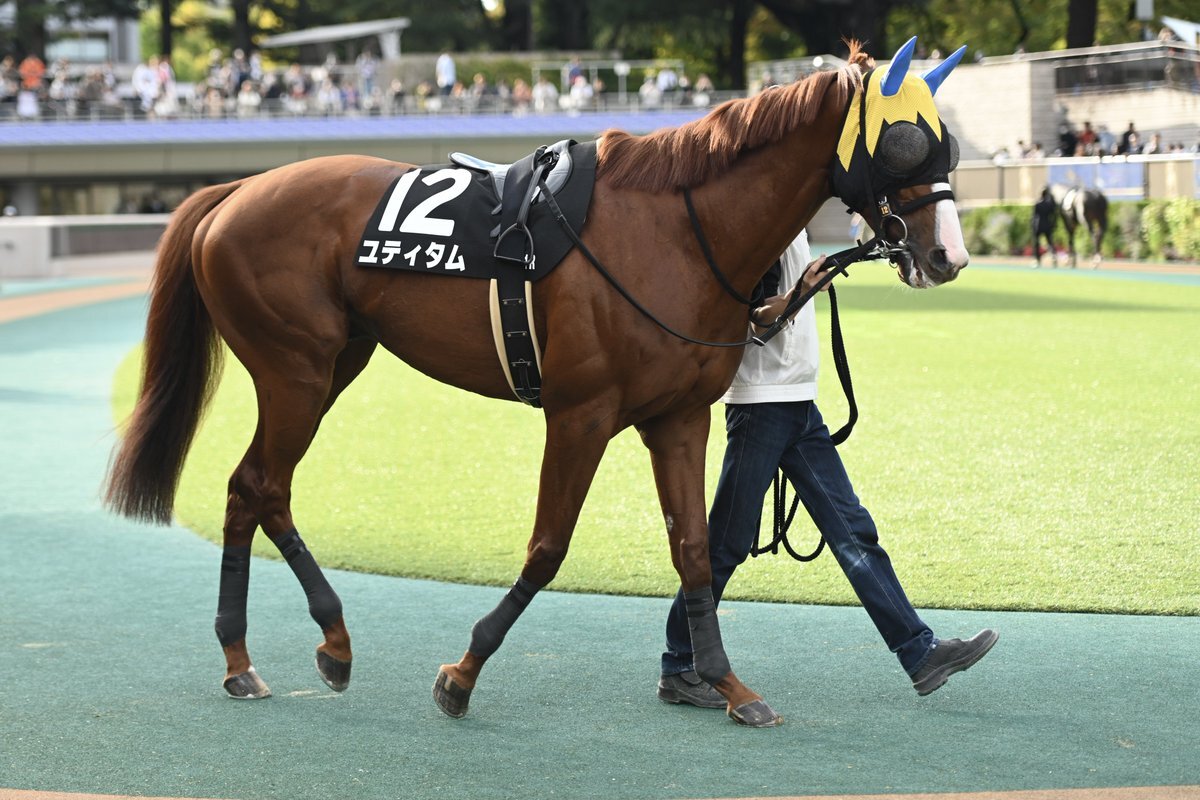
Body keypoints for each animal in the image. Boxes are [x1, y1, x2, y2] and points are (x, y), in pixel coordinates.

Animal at [104, 37, 970, 728]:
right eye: (903, 142)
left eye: (948, 146)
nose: (947, 256)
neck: (673, 230)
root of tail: (235, 191)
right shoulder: (580, 414)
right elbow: (549, 547)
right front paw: (462, 673)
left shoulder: (679, 416)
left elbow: (695, 550)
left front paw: (727, 686)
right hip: (297, 368)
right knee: (265, 485)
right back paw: (328, 642)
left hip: (336, 360)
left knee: (248, 486)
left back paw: (246, 659)